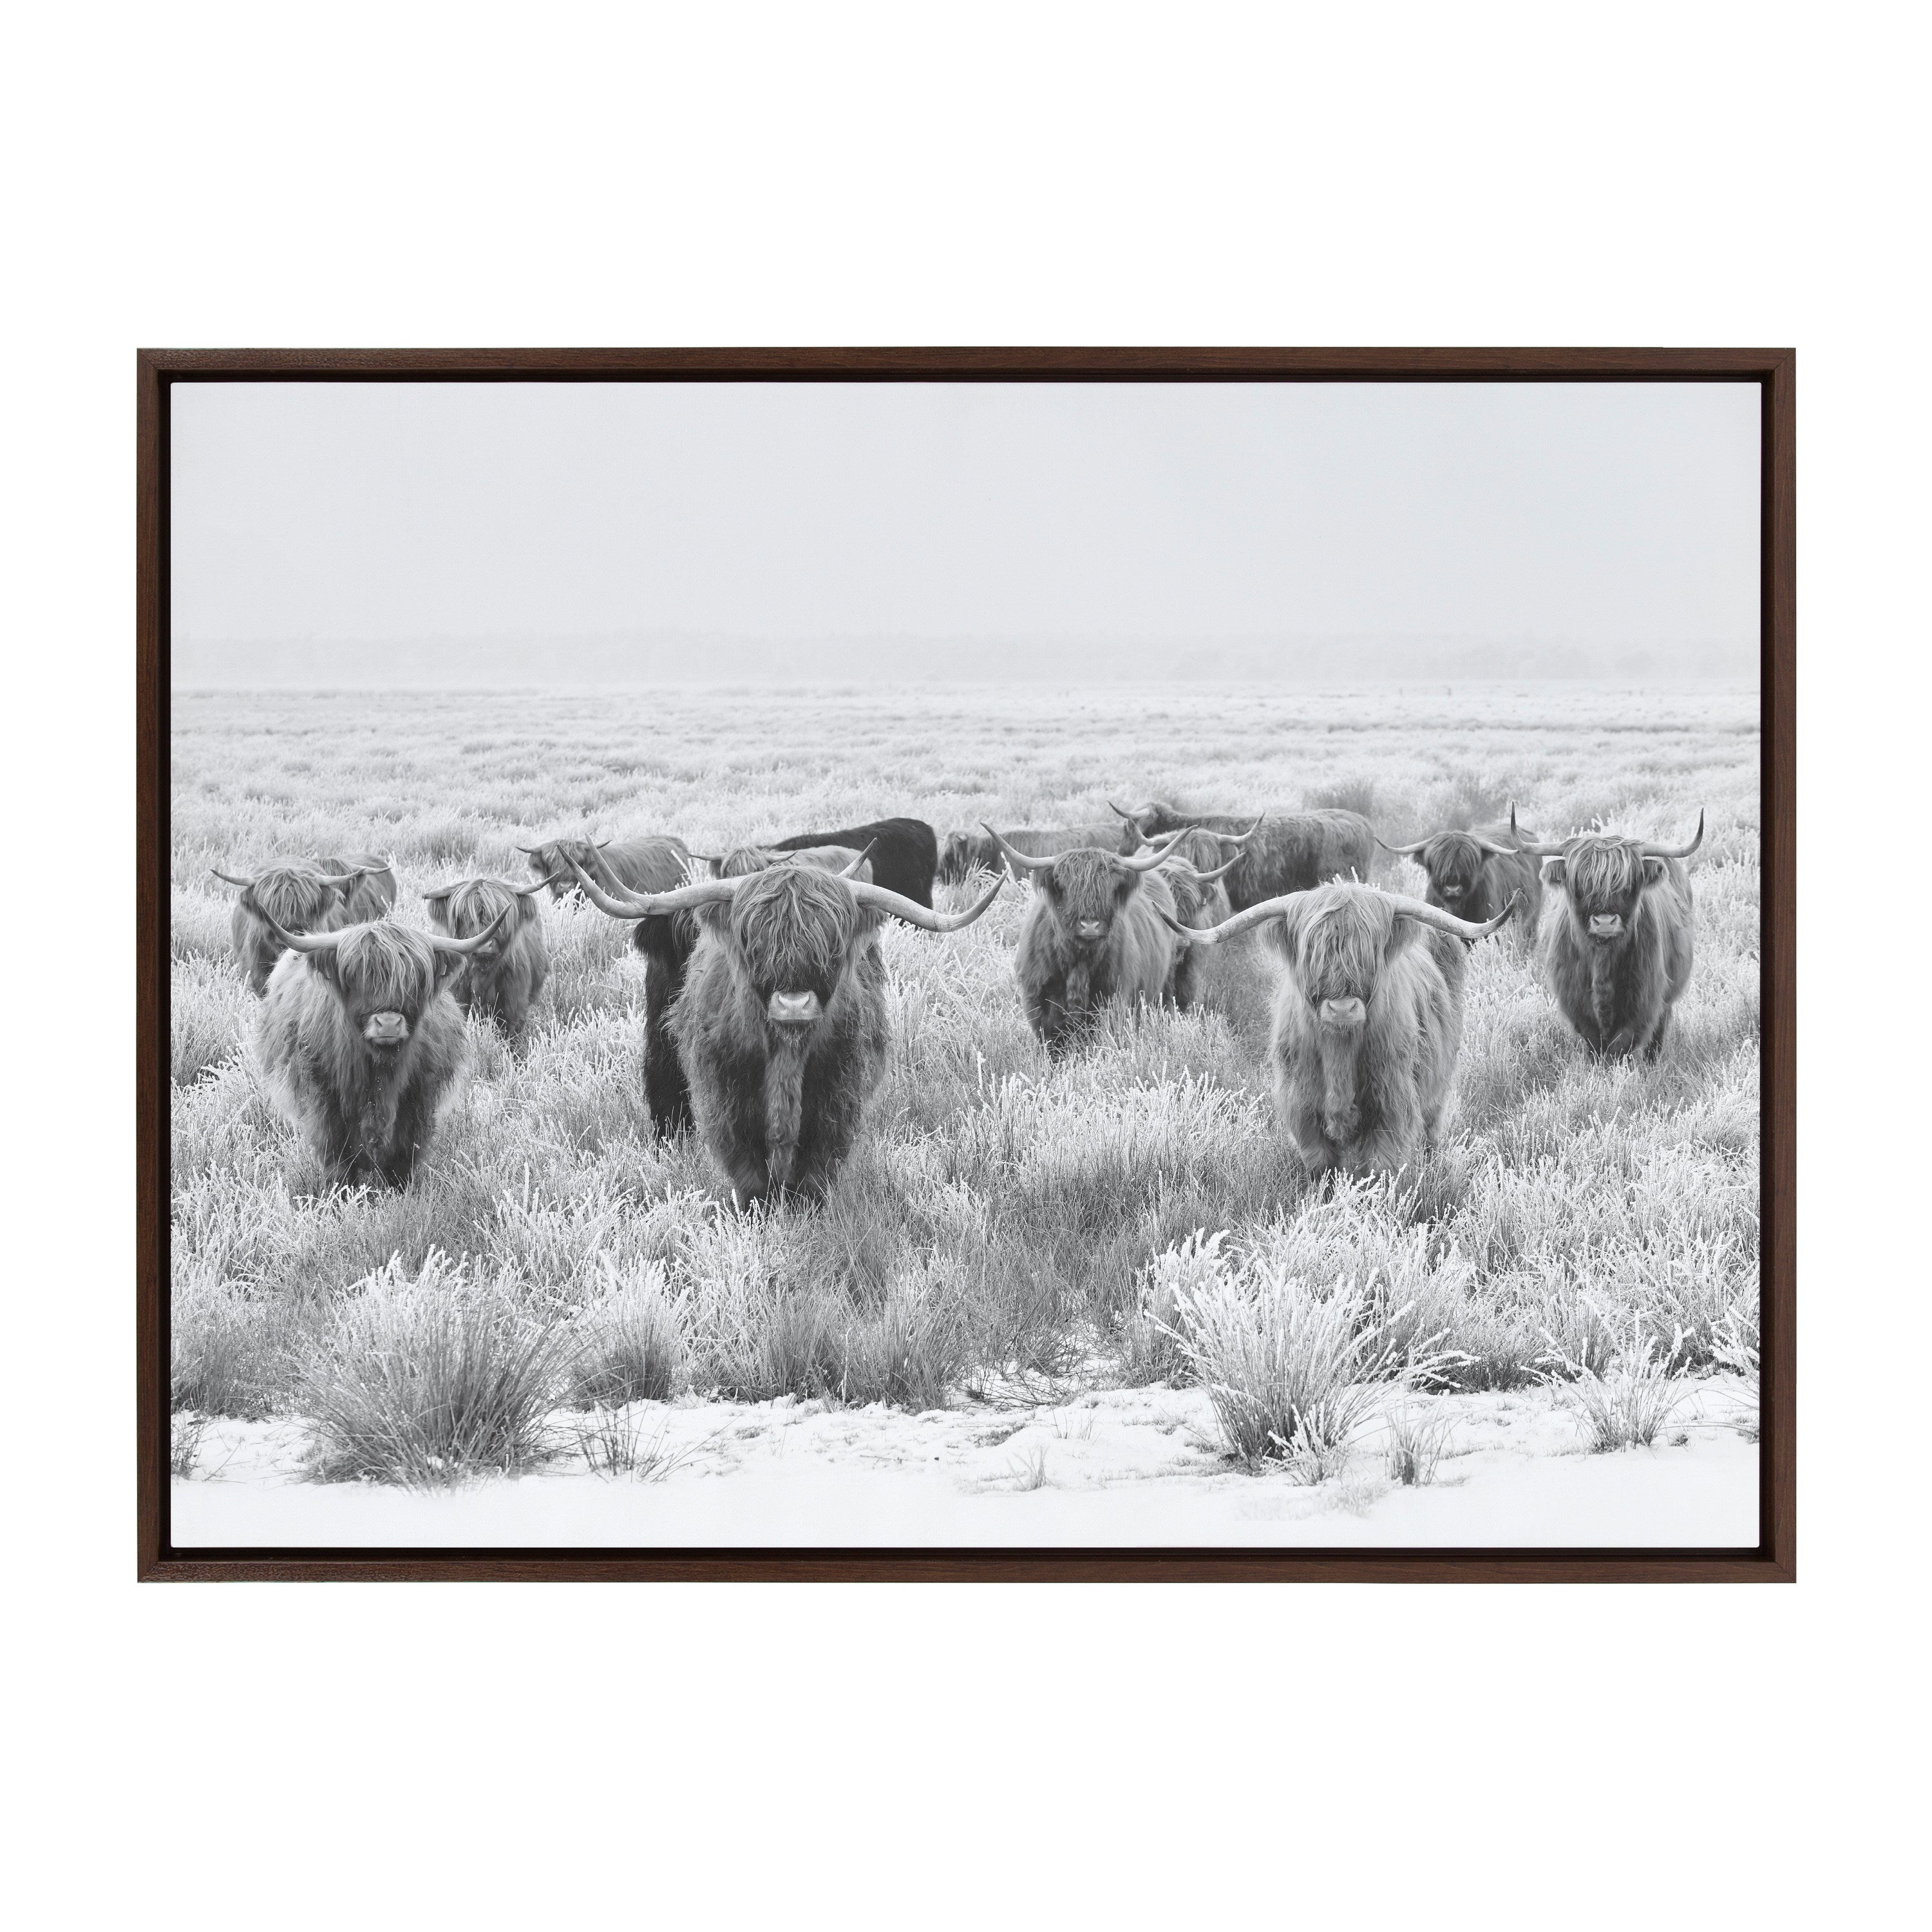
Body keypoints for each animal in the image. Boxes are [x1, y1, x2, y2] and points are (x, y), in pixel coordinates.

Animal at [249, 907, 509, 1187]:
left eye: (416, 978)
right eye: (356, 975)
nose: (389, 1023)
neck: (380, 1070)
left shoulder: (419, 1097)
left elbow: (405, 1154)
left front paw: (400, 1189)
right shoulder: (324, 1097)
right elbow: (336, 1154)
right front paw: (341, 1191)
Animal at [565, 851, 1003, 1205]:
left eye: (832, 944)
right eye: (753, 941)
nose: (794, 1004)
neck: (785, 1055)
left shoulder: (838, 1101)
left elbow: (814, 1176)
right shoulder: (726, 1101)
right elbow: (750, 1176)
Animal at [982, 825, 1194, 1055]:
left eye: (1111, 887)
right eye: (1064, 886)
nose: (1090, 925)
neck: (1079, 961)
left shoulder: (1112, 1000)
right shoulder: (1041, 1005)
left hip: (1164, 985)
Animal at [1174, 882, 1516, 1177]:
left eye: (1370, 950)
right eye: (1312, 951)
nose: (1342, 1009)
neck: (1340, 1051)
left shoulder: (1391, 1108)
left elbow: (1378, 1172)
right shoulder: (1304, 1111)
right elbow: (1322, 1169)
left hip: (1437, 1087)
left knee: (1431, 1131)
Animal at [1511, 807, 1705, 1060]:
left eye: (1628, 884)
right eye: (1579, 884)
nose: (1604, 922)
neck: (1602, 960)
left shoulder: (1643, 1002)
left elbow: (1620, 1047)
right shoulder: (1577, 1007)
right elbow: (1596, 1046)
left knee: (1658, 1034)